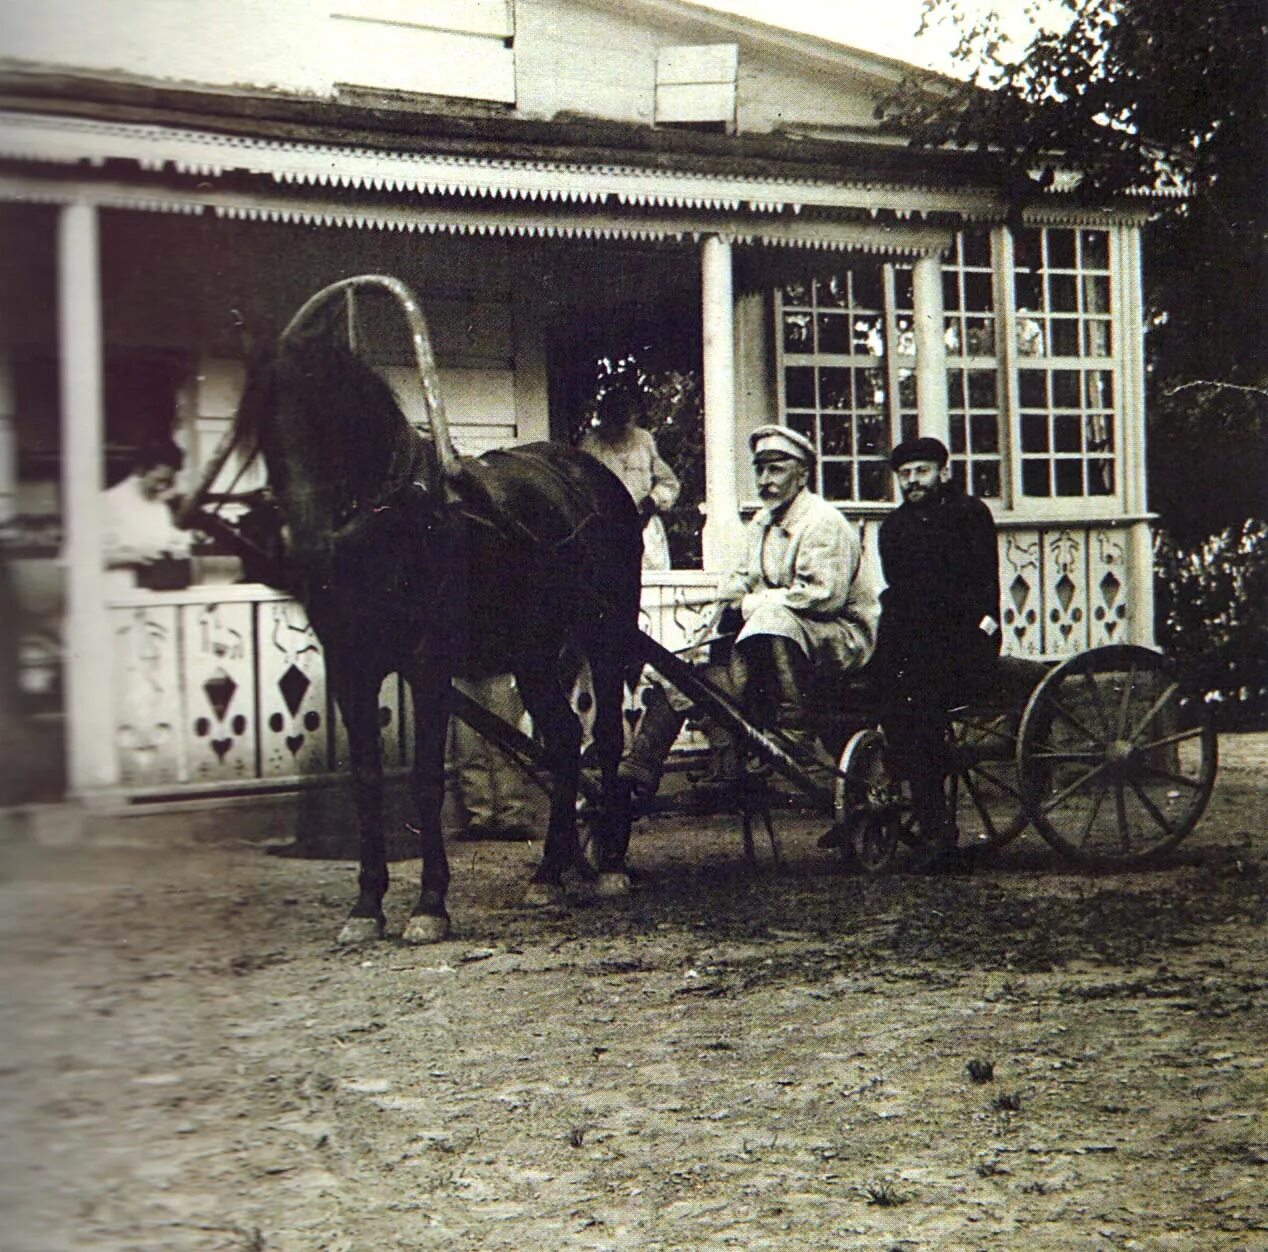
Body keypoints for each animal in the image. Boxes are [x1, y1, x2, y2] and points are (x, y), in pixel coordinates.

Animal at [220, 310, 644, 938]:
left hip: (605, 633)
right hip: (534, 652)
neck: (390, 522)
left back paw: (610, 863)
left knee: (607, 735)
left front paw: (429, 905)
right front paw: (367, 905)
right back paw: (551, 871)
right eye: (262, 423)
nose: (303, 543)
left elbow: (425, 778)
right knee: (566, 738)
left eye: (326, 414)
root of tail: (594, 475)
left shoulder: (427, 664)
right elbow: (367, 779)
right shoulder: (351, 664)